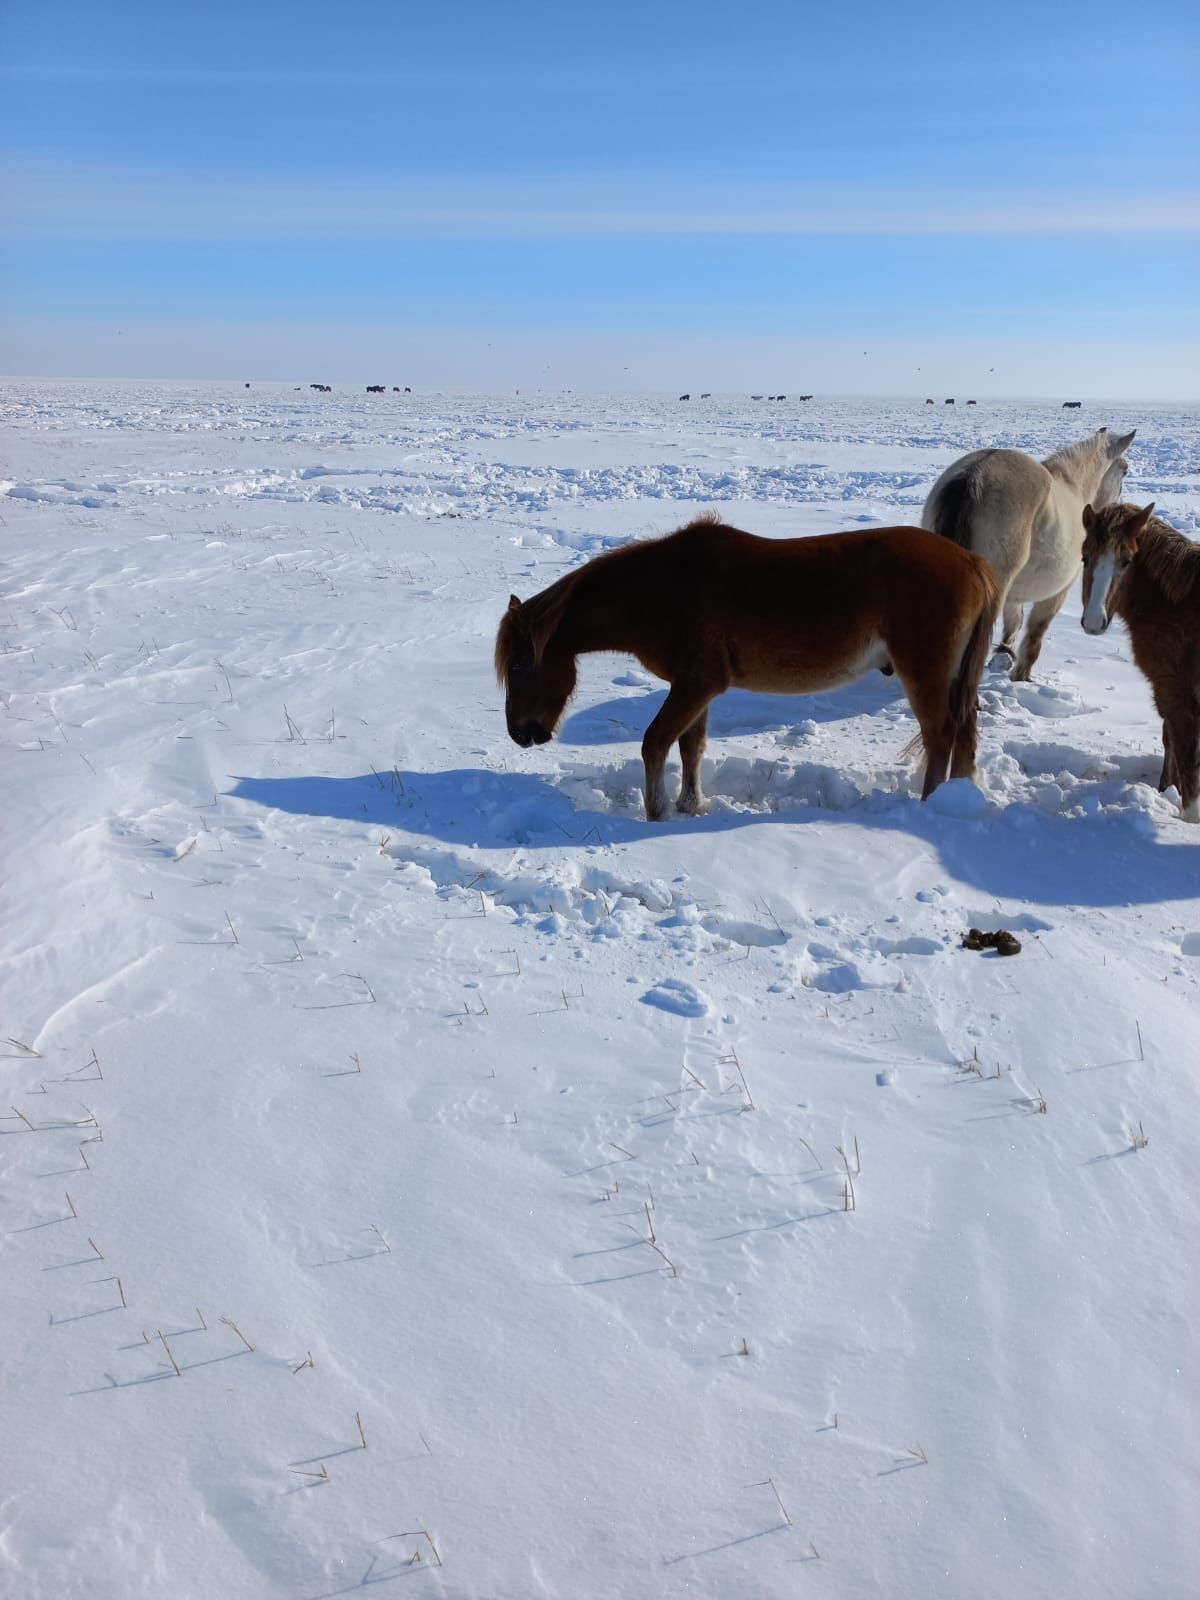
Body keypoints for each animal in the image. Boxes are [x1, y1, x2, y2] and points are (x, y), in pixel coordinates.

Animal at [492, 515, 998, 819]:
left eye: (518, 667)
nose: (519, 734)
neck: (660, 591)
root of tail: (972, 560)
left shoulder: (696, 685)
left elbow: (655, 743)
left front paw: (657, 813)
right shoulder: (696, 689)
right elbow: (691, 747)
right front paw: (691, 805)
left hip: (925, 675)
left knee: (940, 736)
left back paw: (930, 805)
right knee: (964, 733)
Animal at [921, 422, 1139, 678]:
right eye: (1125, 470)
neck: (1076, 488)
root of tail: (972, 476)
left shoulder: (1014, 597)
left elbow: (1013, 624)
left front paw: (1004, 655)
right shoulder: (1058, 593)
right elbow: (1034, 638)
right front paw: (1020, 678)